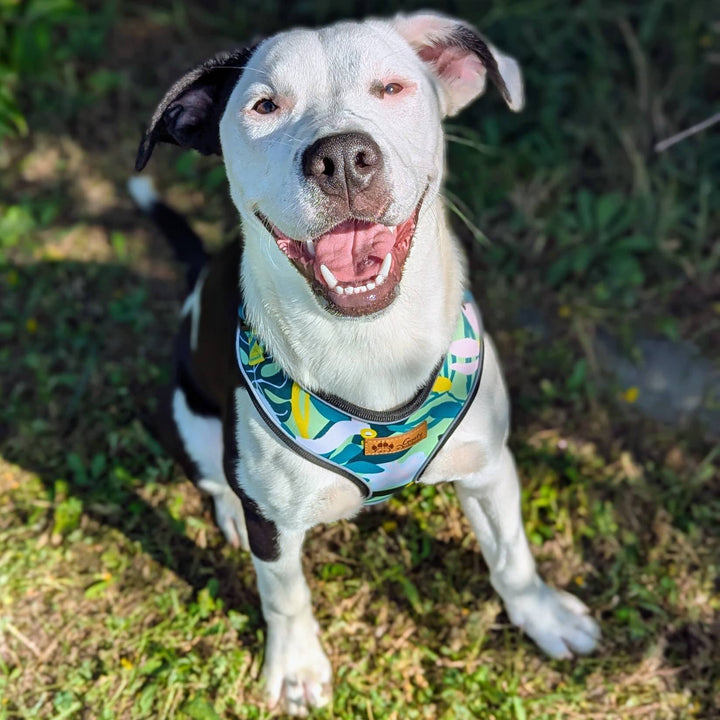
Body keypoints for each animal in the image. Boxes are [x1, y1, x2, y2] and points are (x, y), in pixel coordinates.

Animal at [128, 11, 596, 716]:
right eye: (264, 106)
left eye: (392, 87)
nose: (343, 158)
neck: (371, 347)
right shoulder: (276, 528)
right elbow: (285, 596)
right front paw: (296, 669)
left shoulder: (490, 466)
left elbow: (512, 554)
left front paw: (542, 615)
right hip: (187, 418)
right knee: (216, 479)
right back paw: (230, 510)